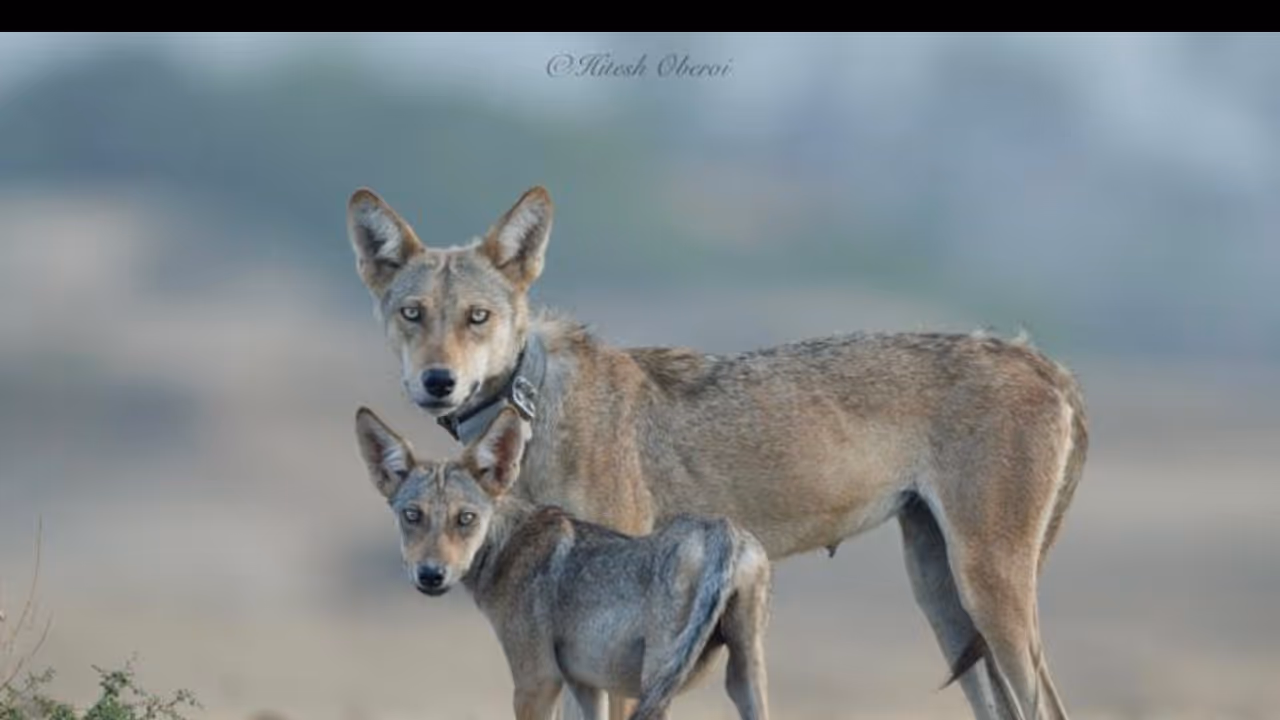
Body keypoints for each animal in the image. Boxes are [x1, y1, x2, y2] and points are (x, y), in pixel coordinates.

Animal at [355, 405, 773, 720]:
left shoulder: (537, 681)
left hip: (655, 685)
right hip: (742, 681)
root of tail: (721, 530)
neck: (506, 547)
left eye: (466, 518)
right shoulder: (586, 685)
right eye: (412, 516)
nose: (430, 575)